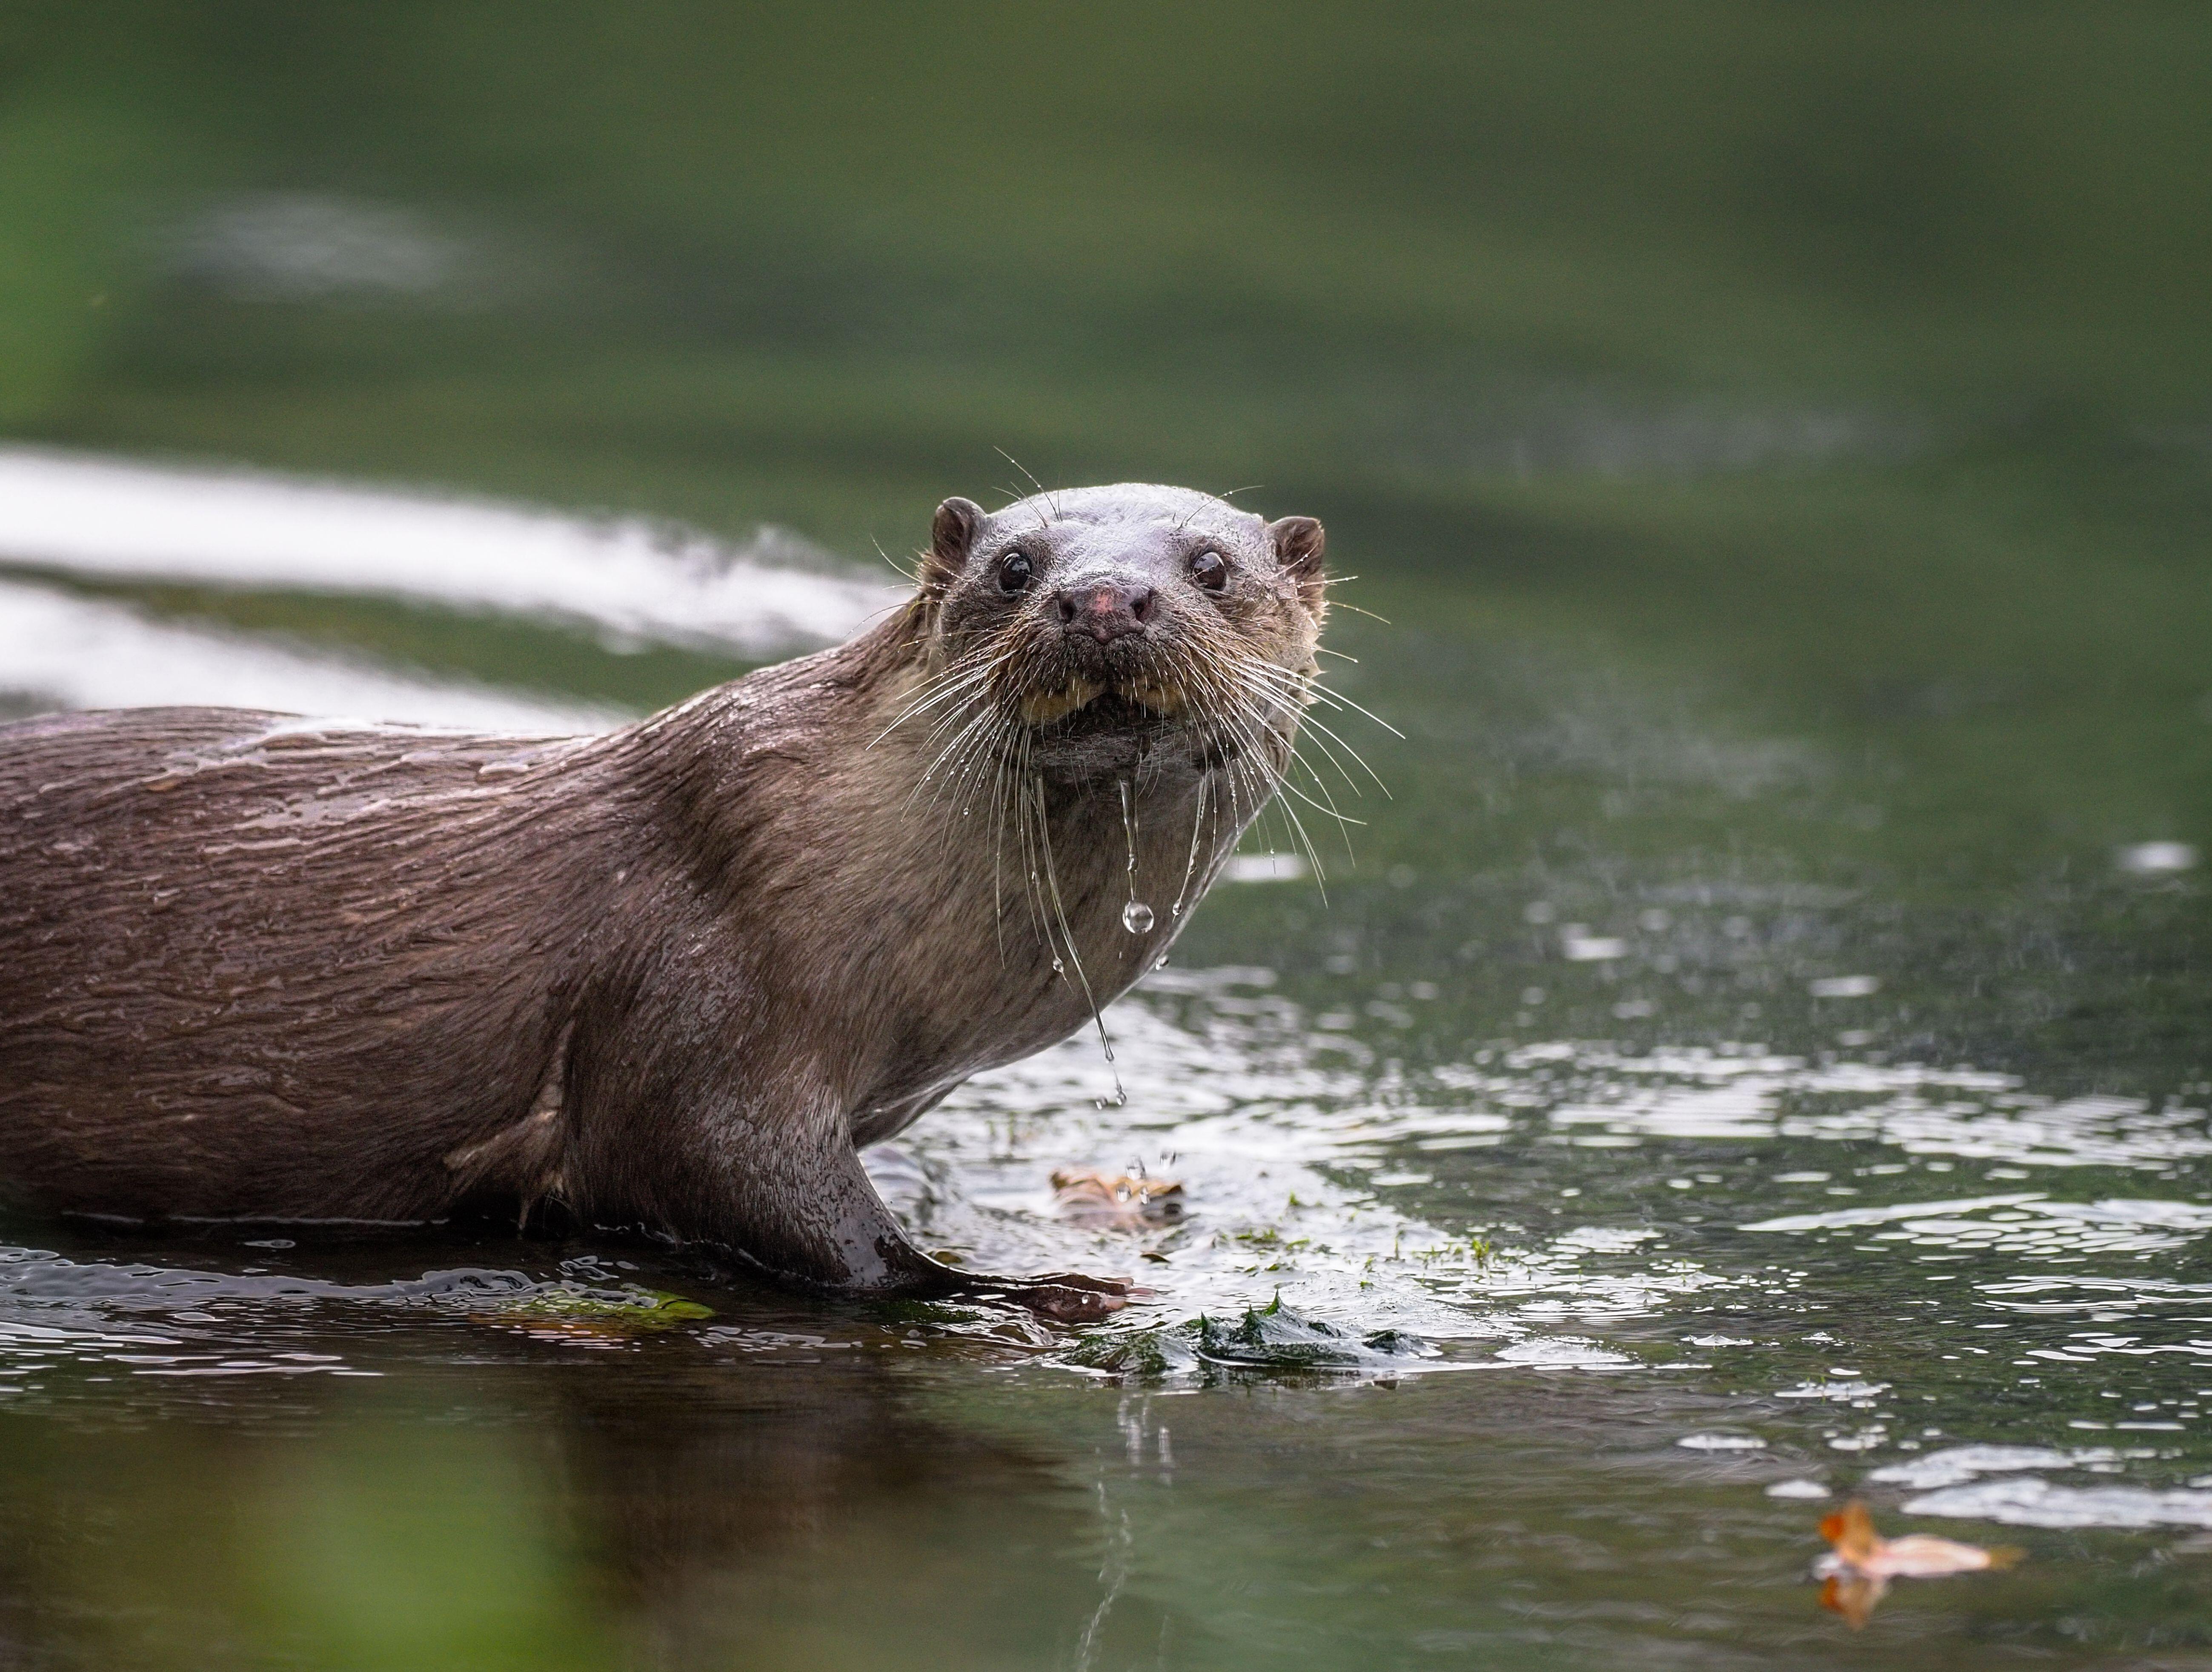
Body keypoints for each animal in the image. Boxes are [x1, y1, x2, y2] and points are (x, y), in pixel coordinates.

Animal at [0, 484, 1328, 1316]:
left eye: (1210, 567)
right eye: (1014, 569)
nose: (1101, 598)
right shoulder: (707, 987)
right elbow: (762, 1191)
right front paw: (1008, 1286)